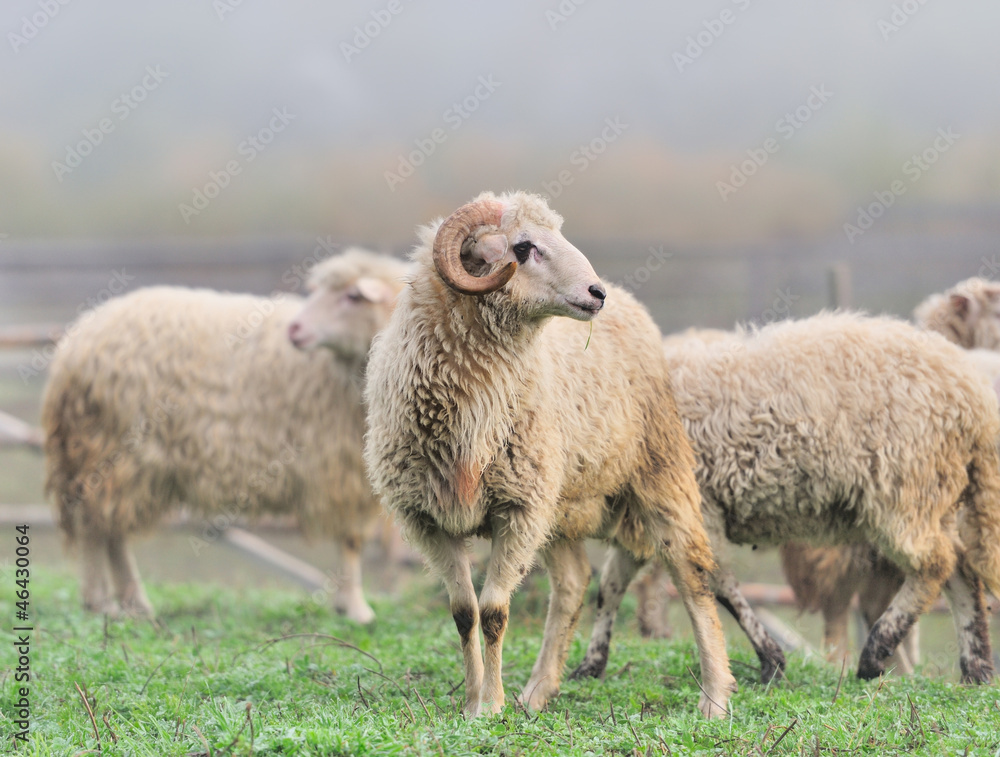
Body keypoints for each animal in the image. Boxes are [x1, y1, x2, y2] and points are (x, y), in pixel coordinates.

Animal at [42, 249, 409, 622]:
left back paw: (129, 604)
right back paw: (105, 602)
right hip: (115, 450)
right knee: (96, 526)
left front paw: (348, 604)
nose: (294, 329)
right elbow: (350, 541)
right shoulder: (340, 468)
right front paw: (356, 608)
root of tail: (73, 347)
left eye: (353, 297)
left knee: (108, 528)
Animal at [363, 191, 737, 719]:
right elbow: (463, 613)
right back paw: (538, 691)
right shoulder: (429, 519)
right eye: (523, 248)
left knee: (693, 575)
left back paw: (715, 698)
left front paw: (491, 706)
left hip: (660, 472)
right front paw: (473, 703)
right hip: (557, 501)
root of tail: (632, 303)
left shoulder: (517, 509)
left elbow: (494, 611)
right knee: (574, 582)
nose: (596, 293)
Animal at [573, 312, 1000, 687]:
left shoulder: (698, 508)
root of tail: (974, 396)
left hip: (904, 485)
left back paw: (876, 653)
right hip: (933, 491)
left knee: (935, 563)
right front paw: (590, 665)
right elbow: (611, 585)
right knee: (960, 568)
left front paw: (771, 661)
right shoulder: (647, 519)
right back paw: (975, 668)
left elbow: (717, 582)